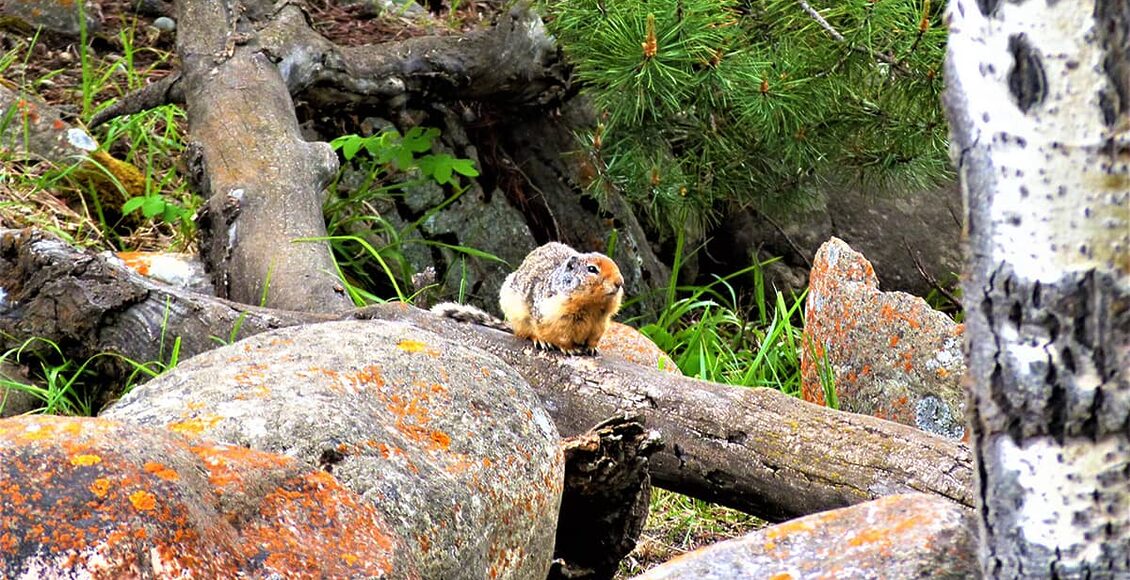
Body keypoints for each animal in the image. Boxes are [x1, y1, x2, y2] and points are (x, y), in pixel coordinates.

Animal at [431, 241, 628, 355]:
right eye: (592, 269)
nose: (620, 282)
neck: (591, 306)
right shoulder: (555, 316)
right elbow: (561, 336)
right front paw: (569, 349)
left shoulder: (600, 322)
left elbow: (594, 337)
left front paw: (593, 348)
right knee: (524, 333)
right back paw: (541, 342)